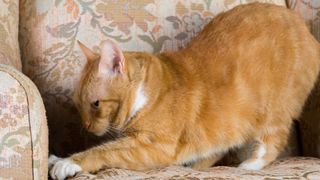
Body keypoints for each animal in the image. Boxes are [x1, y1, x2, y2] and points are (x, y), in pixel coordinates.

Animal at [48, 3, 320, 180]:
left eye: (95, 104)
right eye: (78, 105)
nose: (85, 126)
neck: (146, 92)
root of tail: (306, 30)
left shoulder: (153, 146)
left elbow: (103, 151)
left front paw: (67, 162)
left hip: (273, 111)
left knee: (272, 140)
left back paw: (248, 166)